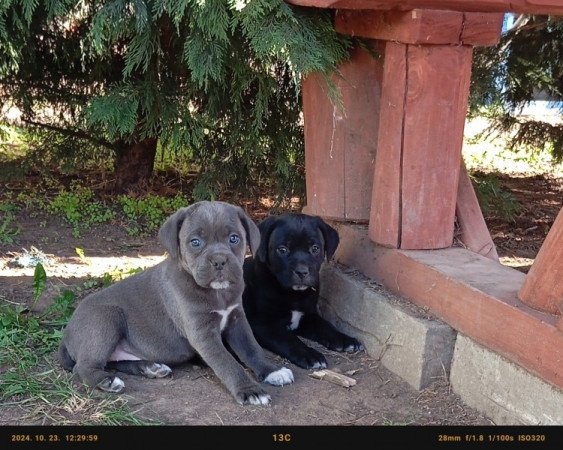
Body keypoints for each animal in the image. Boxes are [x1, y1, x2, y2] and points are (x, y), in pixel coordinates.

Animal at [58, 200, 296, 404]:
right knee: (84, 367)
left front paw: (272, 370)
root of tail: (67, 332)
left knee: (116, 362)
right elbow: (227, 362)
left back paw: (151, 368)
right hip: (105, 319)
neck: (217, 294)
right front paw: (250, 390)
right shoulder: (202, 334)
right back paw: (107, 381)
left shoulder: (237, 319)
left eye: (234, 238)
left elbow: (252, 348)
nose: (219, 260)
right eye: (195, 242)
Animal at [242, 212, 366, 370]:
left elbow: (325, 325)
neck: (294, 295)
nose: (302, 272)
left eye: (315, 248)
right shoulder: (263, 325)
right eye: (282, 249)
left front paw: (345, 340)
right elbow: (289, 340)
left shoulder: (307, 316)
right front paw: (311, 355)